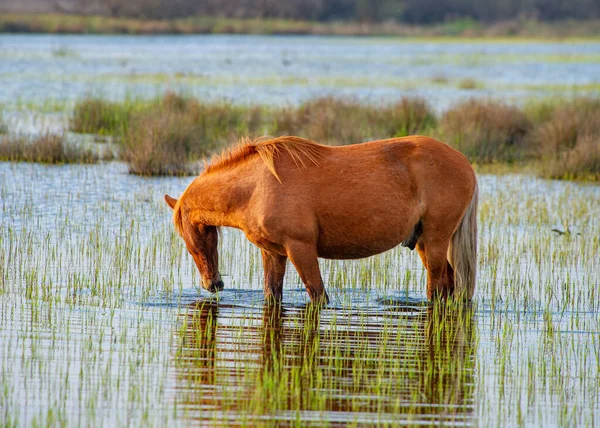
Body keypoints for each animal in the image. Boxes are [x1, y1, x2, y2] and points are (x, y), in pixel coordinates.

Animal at [164, 135, 478, 302]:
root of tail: (464, 162)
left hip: (436, 240)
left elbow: (318, 296)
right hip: (424, 242)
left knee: (438, 288)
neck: (256, 186)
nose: (212, 285)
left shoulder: (300, 249)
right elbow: (272, 294)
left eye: (188, 237)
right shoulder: (274, 253)